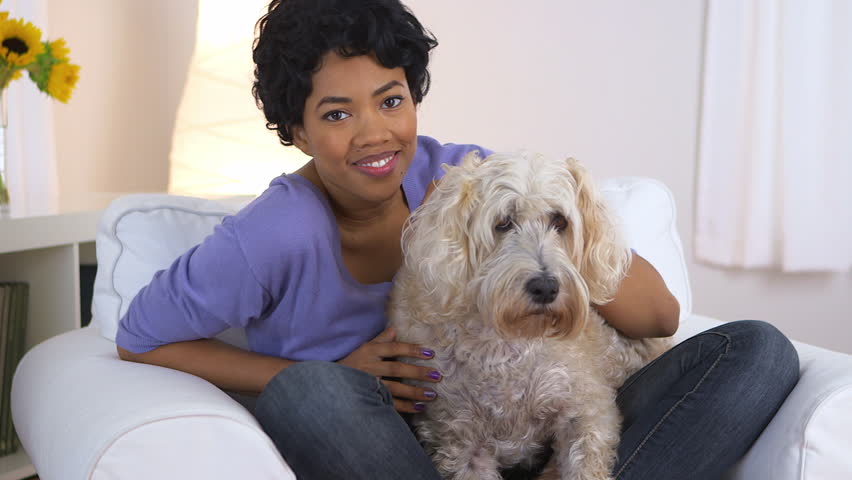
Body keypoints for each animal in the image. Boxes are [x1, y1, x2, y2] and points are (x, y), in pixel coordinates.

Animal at [386, 151, 672, 480]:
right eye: (503, 223)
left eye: (559, 220)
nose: (546, 287)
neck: (506, 344)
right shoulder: (459, 439)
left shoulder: (587, 412)